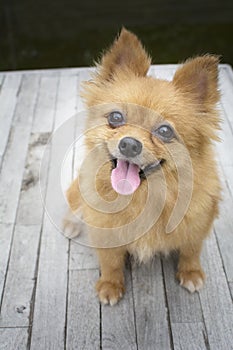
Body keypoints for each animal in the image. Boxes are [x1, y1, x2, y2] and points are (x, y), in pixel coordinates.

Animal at [64, 28, 221, 304]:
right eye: (116, 117)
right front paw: (110, 285)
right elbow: (111, 261)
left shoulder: (198, 226)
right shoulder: (105, 233)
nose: (129, 144)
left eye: (165, 131)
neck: (144, 198)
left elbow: (191, 251)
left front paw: (191, 273)